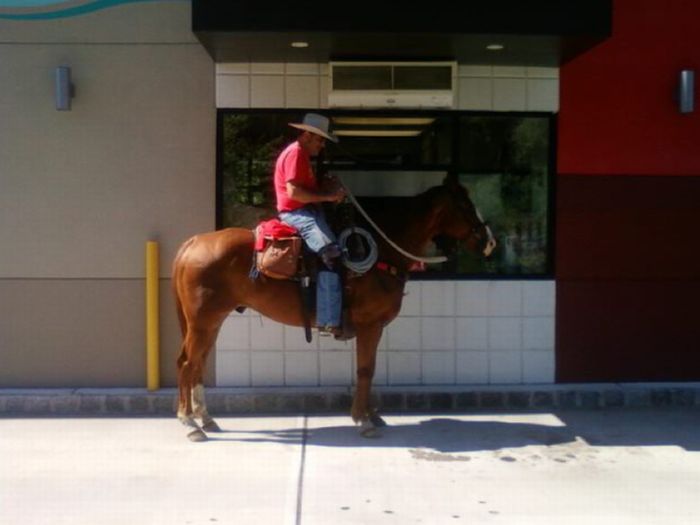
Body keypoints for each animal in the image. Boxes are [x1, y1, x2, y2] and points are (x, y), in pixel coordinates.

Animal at [172, 175, 496, 441]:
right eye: (465, 205)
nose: (490, 242)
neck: (383, 251)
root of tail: (193, 243)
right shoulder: (369, 325)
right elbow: (365, 369)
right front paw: (363, 420)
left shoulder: (374, 328)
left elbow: (369, 369)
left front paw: (372, 414)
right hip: (202, 322)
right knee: (187, 363)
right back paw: (190, 423)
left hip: (212, 322)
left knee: (198, 363)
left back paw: (206, 419)